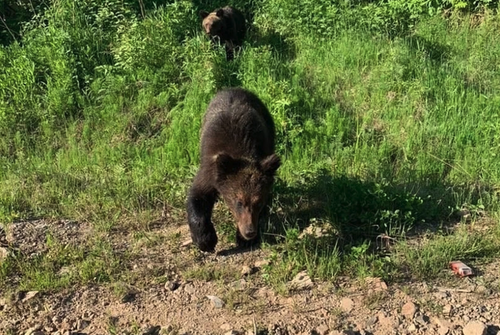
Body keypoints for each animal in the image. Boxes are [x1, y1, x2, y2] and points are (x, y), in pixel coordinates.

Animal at [188, 86, 282, 252]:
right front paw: (206, 240)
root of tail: (234, 88)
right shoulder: (211, 170)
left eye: (258, 202)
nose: (250, 231)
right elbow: (198, 196)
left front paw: (244, 239)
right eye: (239, 202)